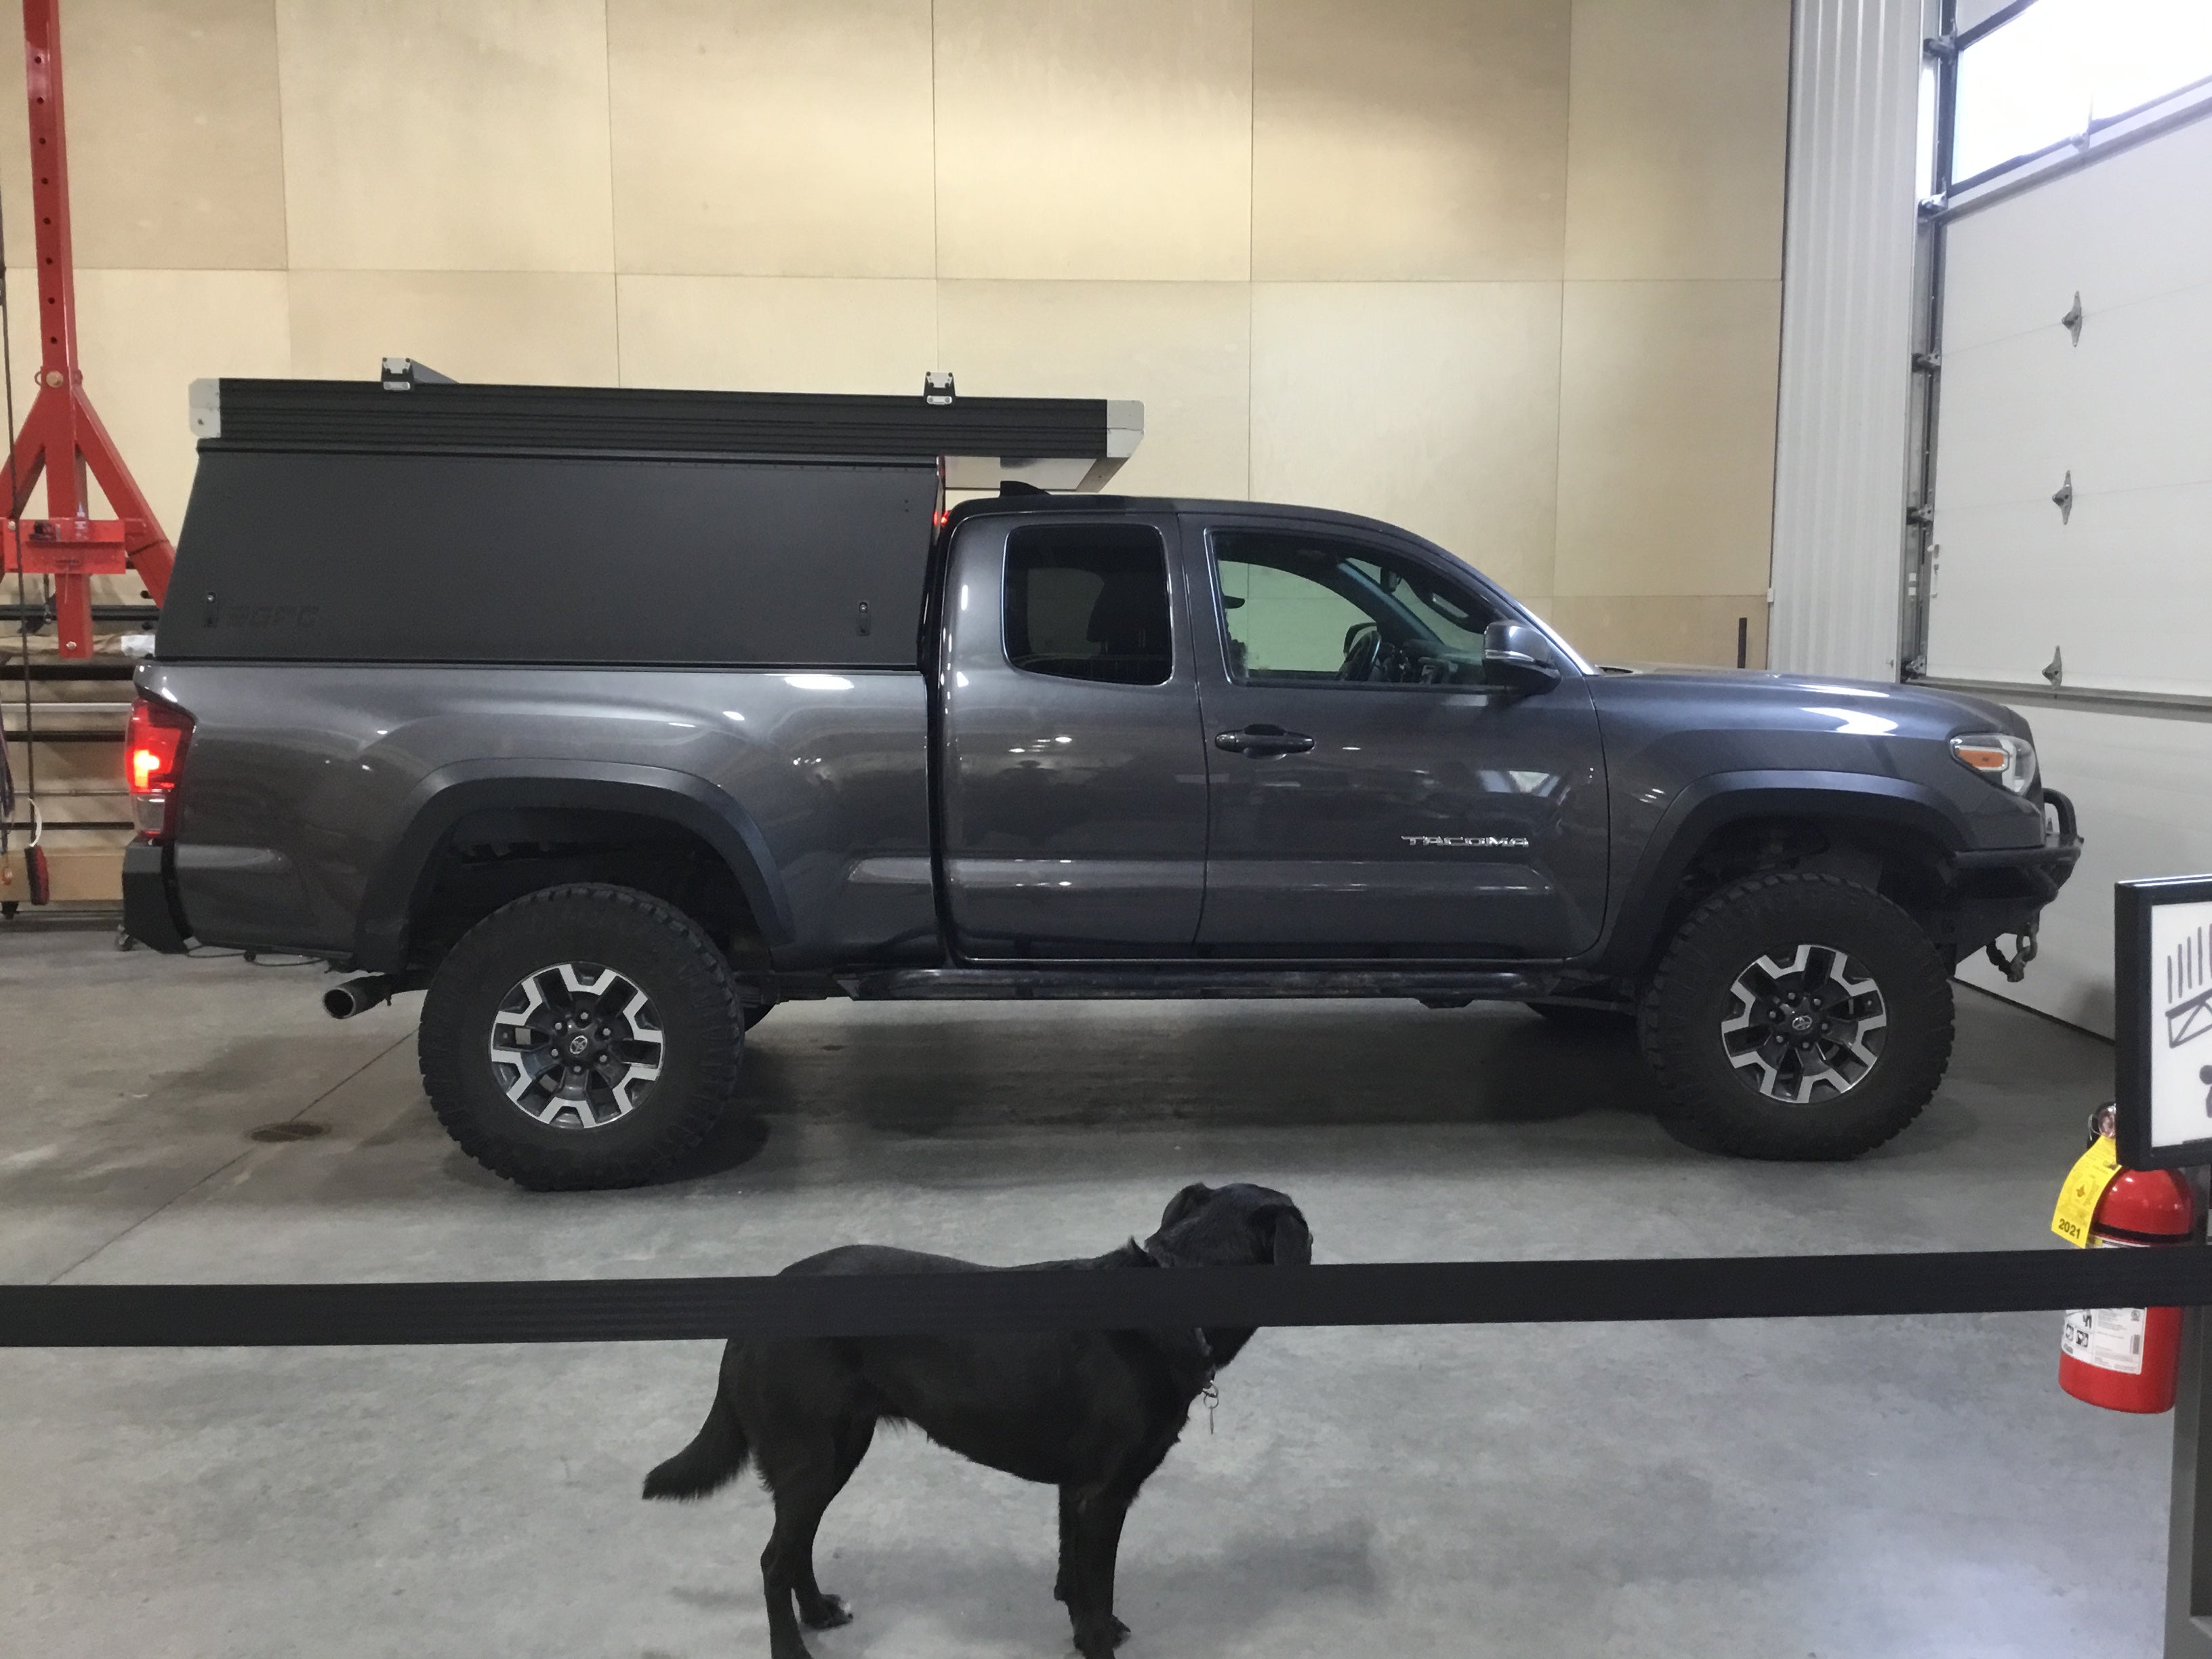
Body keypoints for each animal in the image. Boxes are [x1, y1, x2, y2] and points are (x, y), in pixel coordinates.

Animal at [643, 1181, 1310, 1659]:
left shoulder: (1075, 1492)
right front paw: (1097, 1642)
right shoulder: (1102, 1495)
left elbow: (1073, 1579)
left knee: (795, 1547)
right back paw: (792, 1649)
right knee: (773, 1560)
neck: (1173, 1297)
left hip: (836, 1451)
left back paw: (821, 1615)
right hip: (812, 1456)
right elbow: (1096, 1590)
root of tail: (753, 1310)